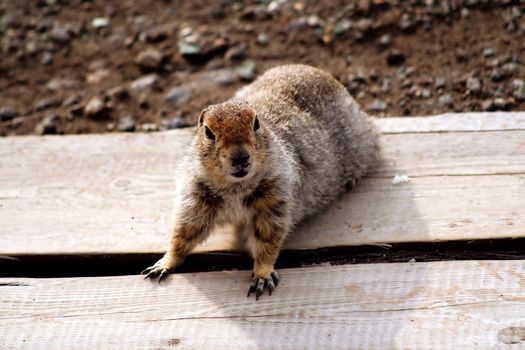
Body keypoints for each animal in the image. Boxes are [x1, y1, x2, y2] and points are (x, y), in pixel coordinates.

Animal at [143, 64, 378, 300]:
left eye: (256, 123)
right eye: (208, 132)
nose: (240, 157)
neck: (235, 188)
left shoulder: (274, 199)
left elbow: (267, 239)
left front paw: (262, 275)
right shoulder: (196, 198)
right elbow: (184, 232)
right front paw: (164, 263)